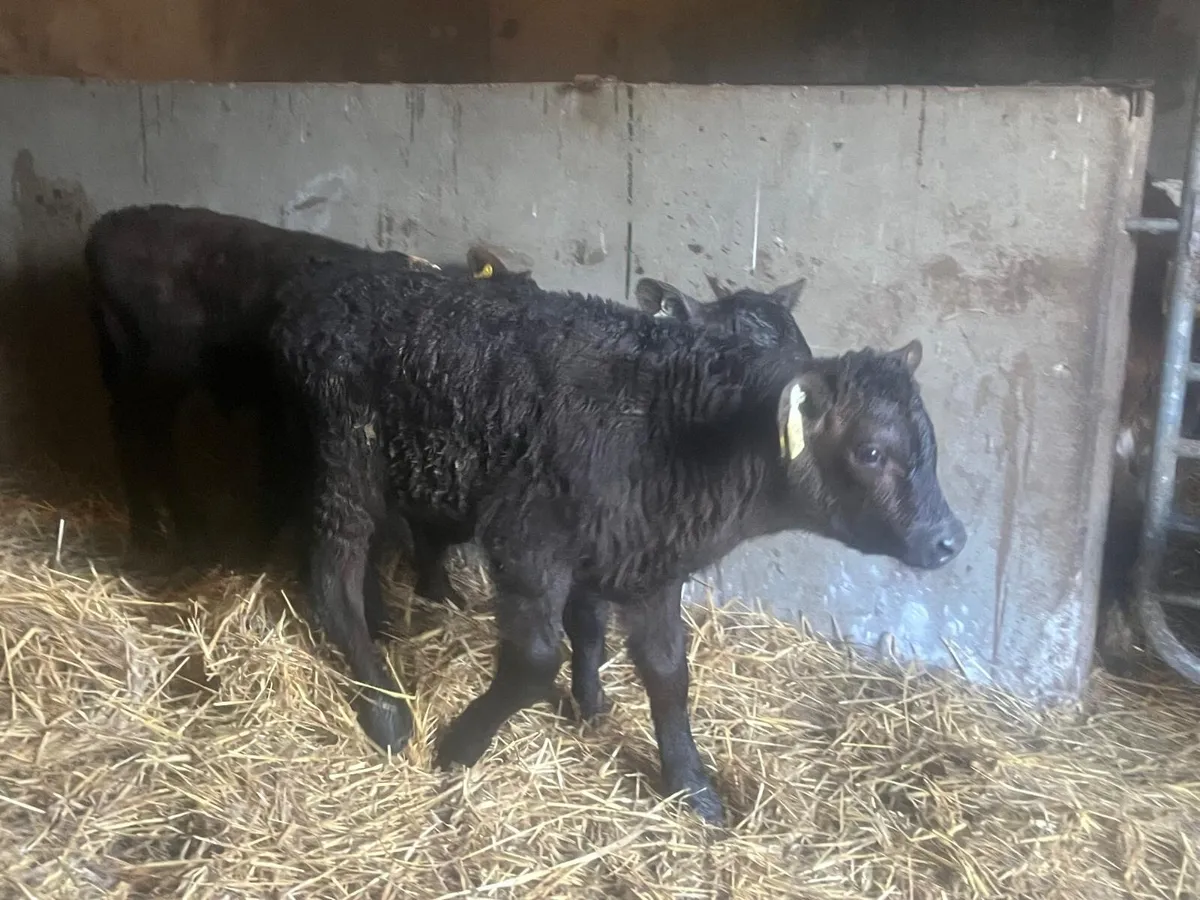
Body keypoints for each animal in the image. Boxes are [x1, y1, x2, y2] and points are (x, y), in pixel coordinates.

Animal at [268, 262, 965, 824]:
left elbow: (663, 669)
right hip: (346, 459)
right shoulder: (529, 541)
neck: (674, 430)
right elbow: (536, 661)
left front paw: (687, 782)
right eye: (870, 451)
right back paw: (383, 706)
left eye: (930, 444)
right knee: (333, 578)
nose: (950, 539)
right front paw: (461, 745)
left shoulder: (646, 564)